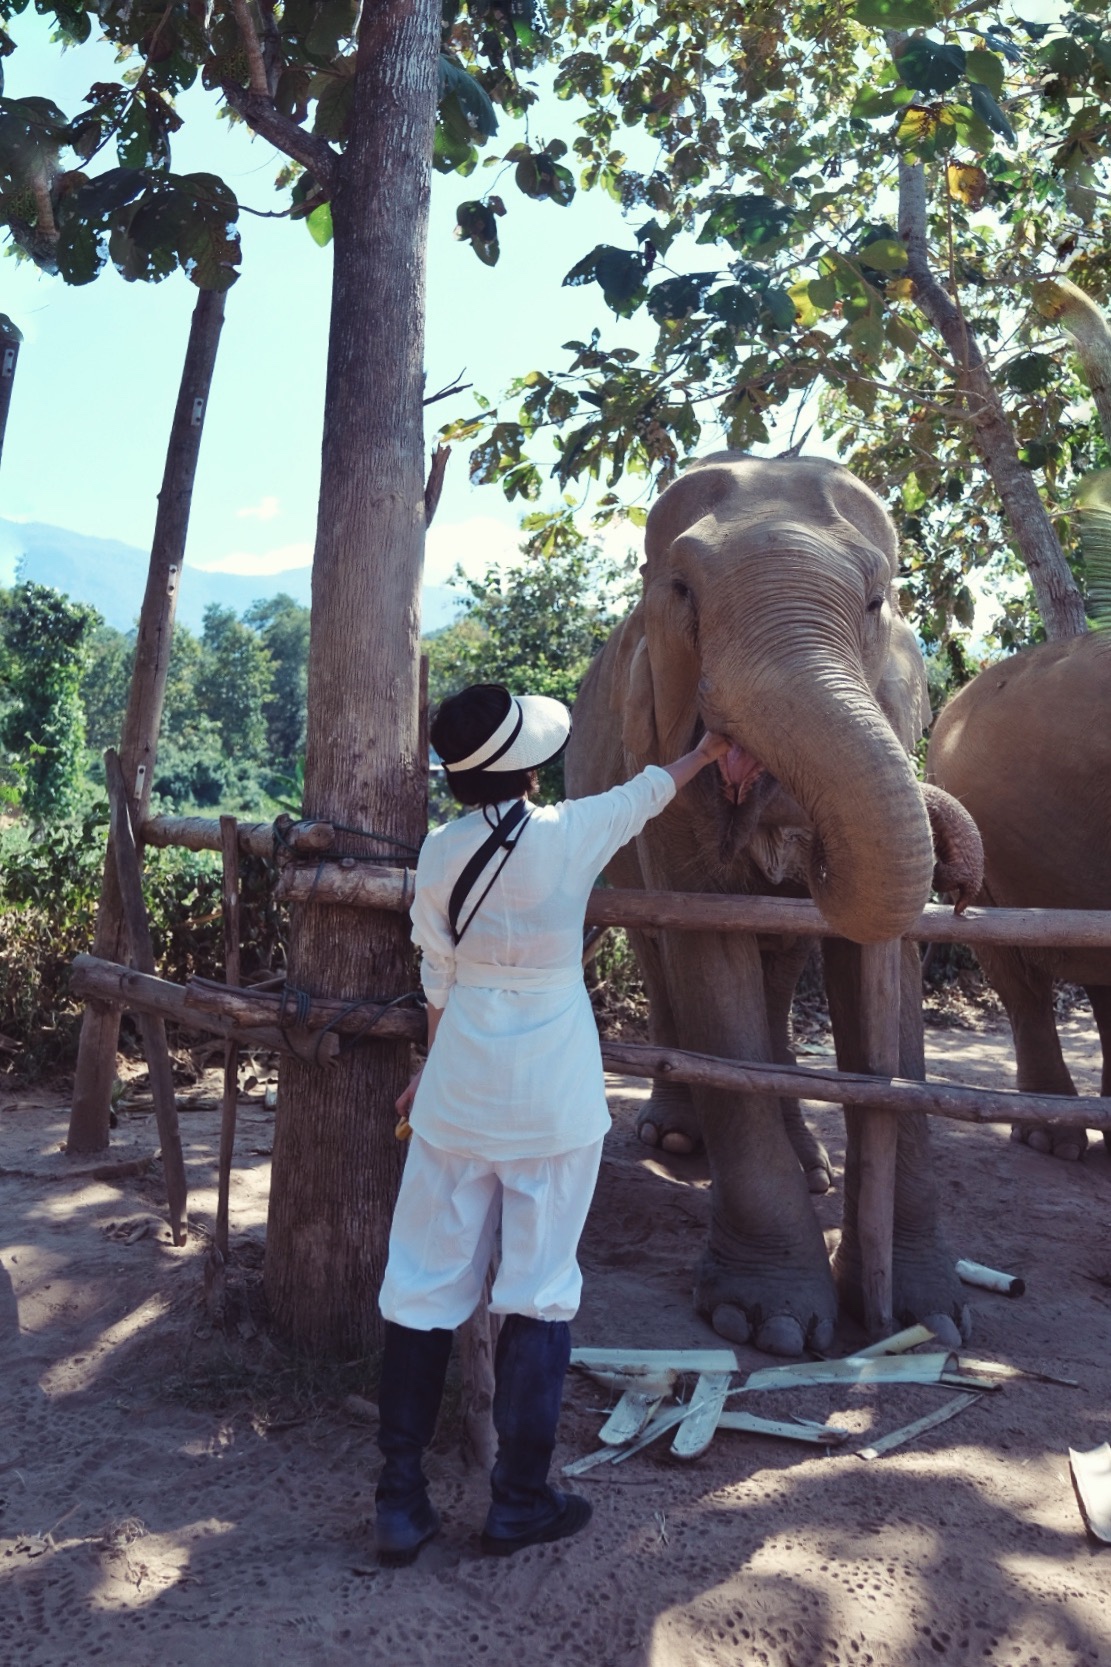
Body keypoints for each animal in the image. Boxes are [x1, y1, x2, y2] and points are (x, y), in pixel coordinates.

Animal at [563, 453, 980, 1353]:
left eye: (875, 600)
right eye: (681, 589)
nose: (965, 883)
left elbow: (880, 969)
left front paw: (930, 1317)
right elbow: (711, 962)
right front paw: (773, 1324)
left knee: (781, 964)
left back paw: (810, 1162)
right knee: (659, 951)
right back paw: (675, 1134)